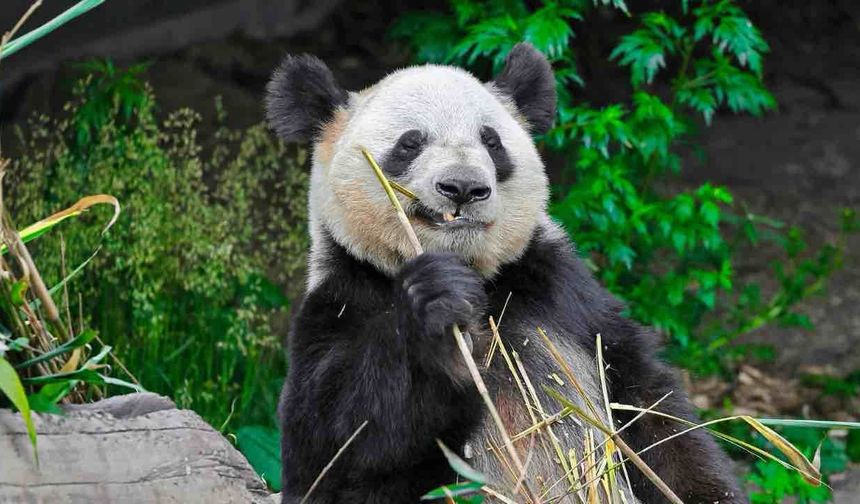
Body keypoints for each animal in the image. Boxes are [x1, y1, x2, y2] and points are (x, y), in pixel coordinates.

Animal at [266, 43, 745, 504]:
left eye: (491, 141)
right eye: (410, 143)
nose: (463, 187)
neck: (478, 277)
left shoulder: (562, 294)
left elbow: (651, 413)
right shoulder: (341, 303)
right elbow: (333, 453)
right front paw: (439, 312)